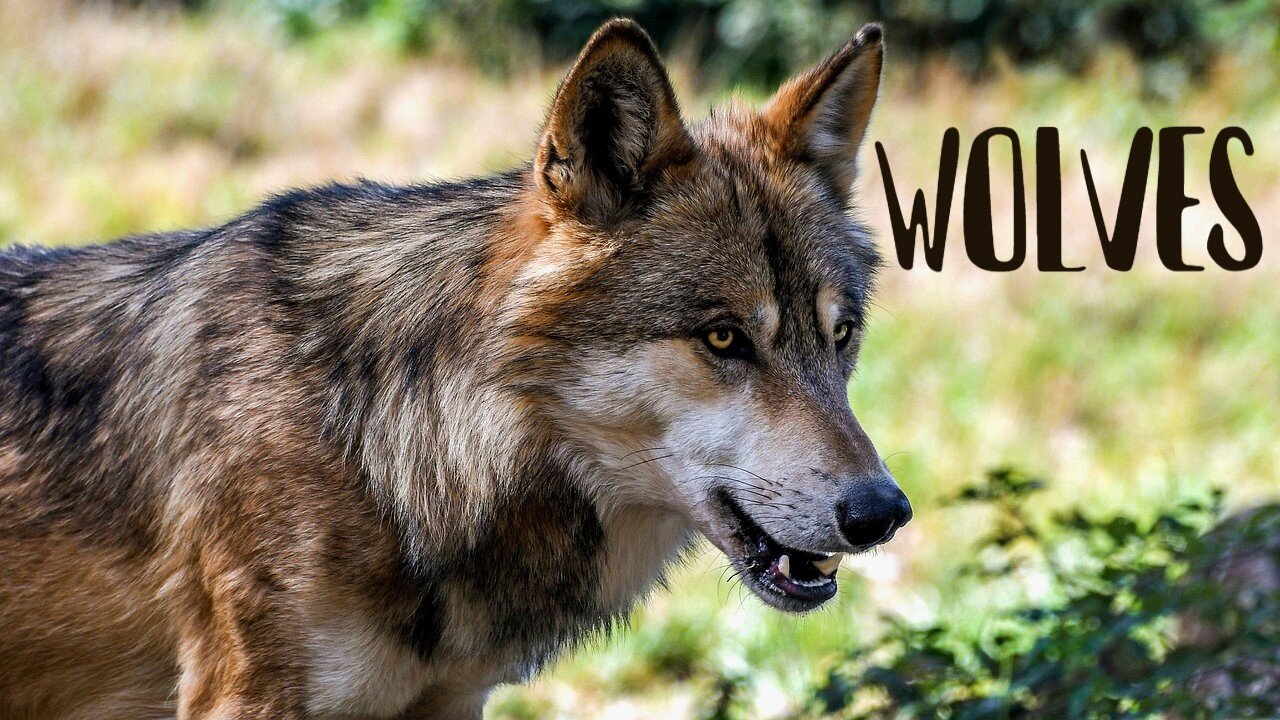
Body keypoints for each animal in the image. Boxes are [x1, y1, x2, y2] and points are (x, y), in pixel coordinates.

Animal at [0, 18, 909, 719]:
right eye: (723, 339)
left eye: (840, 335)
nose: (884, 512)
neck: (382, 446)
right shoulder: (244, 696)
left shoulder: (452, 700)